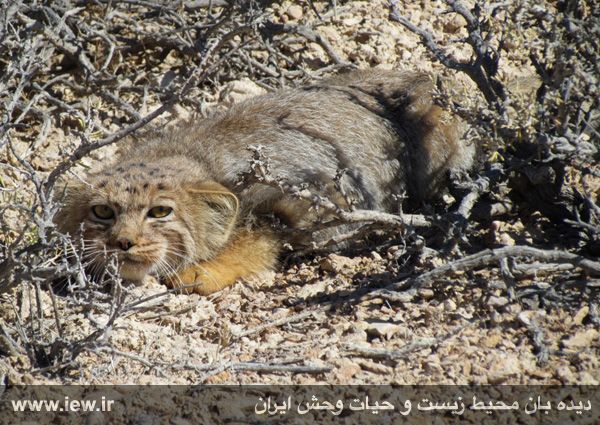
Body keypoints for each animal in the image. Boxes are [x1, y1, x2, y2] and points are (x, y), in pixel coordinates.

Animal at [55, 70, 474, 294]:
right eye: (102, 212)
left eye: (160, 212)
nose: (123, 242)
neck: (197, 157)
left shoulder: (306, 198)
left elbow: (257, 239)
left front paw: (200, 271)